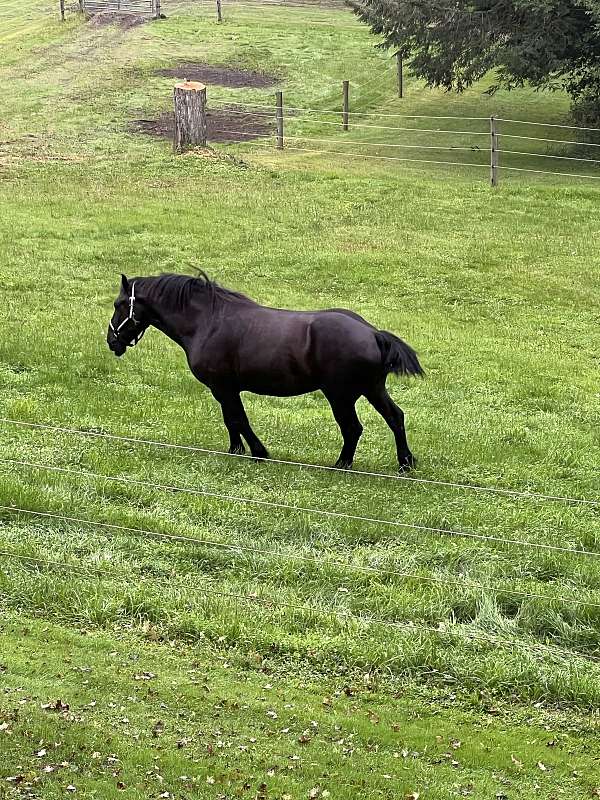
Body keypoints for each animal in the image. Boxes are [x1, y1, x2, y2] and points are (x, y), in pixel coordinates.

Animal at [108, 276, 424, 468]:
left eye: (119, 304)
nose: (112, 341)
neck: (208, 321)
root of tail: (373, 333)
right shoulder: (224, 390)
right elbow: (231, 421)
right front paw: (236, 450)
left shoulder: (224, 387)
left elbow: (239, 419)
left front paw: (258, 452)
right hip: (373, 390)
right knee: (395, 417)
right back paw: (405, 463)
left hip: (340, 396)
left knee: (353, 428)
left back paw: (341, 465)